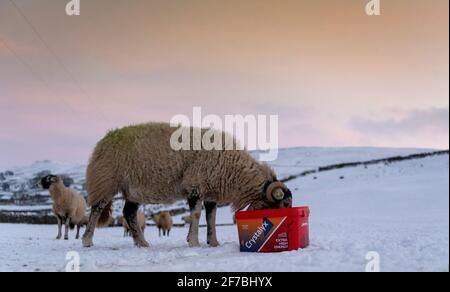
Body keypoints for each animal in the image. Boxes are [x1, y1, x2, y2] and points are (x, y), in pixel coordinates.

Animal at [80, 122, 292, 248]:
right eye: (283, 204)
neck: (235, 171)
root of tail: (102, 141)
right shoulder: (195, 186)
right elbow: (196, 215)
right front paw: (194, 242)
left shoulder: (210, 192)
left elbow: (211, 218)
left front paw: (213, 242)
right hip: (106, 181)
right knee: (97, 209)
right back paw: (87, 240)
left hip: (133, 190)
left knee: (129, 213)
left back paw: (142, 243)